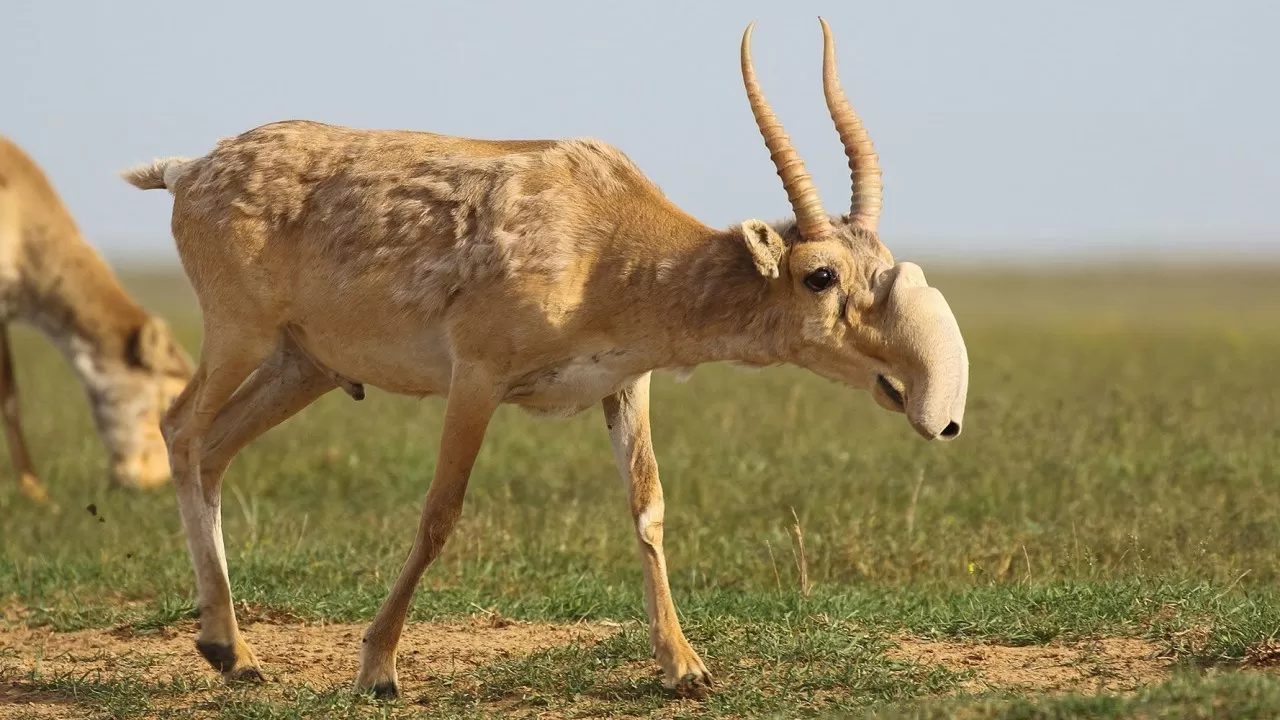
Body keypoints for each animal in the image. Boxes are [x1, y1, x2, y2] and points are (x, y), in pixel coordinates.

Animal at [122, 19, 967, 696]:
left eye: (879, 262)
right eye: (819, 275)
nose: (917, 392)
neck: (606, 238)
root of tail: (190, 170)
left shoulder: (626, 385)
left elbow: (648, 507)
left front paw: (686, 667)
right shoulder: (476, 379)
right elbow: (440, 513)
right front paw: (378, 669)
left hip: (304, 368)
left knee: (215, 449)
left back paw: (231, 653)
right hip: (241, 335)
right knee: (182, 431)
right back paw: (232, 646)